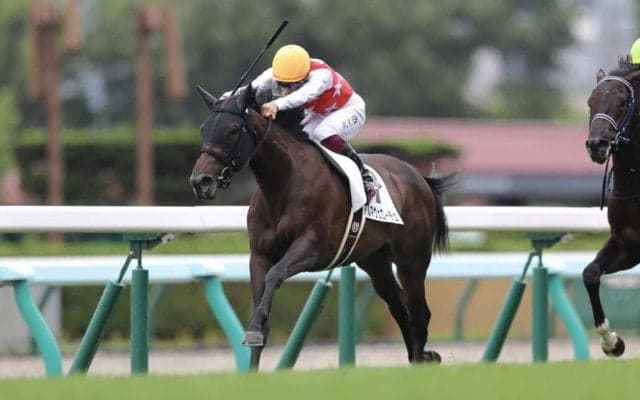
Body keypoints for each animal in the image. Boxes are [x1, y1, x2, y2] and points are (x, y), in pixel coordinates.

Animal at [189, 86, 452, 369]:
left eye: (233, 129)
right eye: (204, 128)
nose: (200, 181)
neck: (283, 184)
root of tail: (419, 177)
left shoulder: (311, 248)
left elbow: (275, 276)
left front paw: (256, 332)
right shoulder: (259, 255)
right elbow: (261, 303)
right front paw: (253, 359)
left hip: (412, 260)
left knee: (419, 312)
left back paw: (421, 358)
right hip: (375, 262)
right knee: (400, 308)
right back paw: (418, 357)